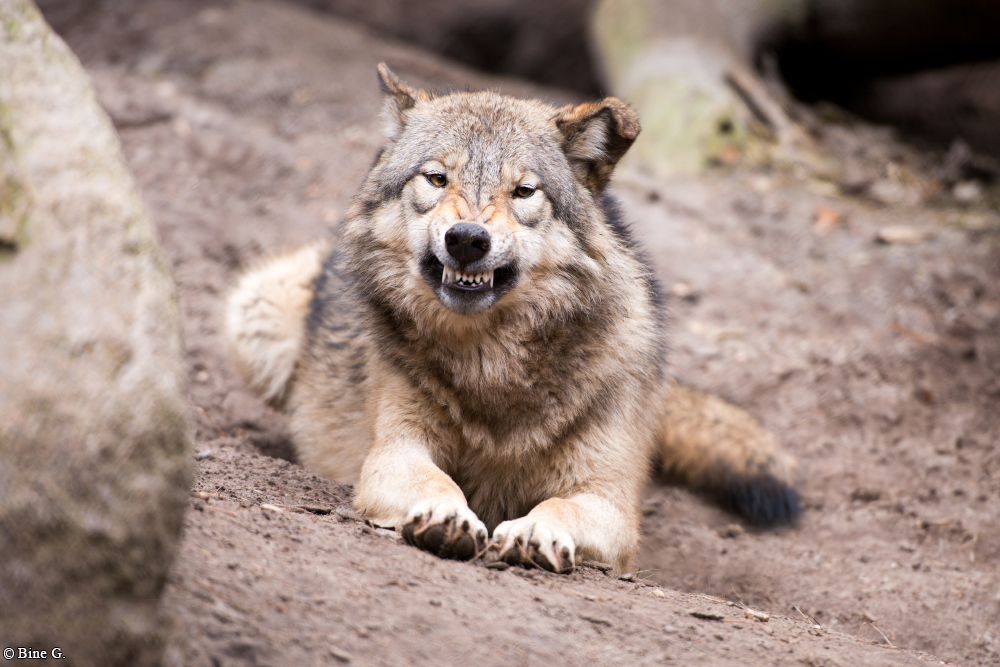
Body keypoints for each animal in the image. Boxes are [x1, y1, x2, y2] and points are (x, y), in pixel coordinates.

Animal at [225, 64, 799, 574]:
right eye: (437, 178)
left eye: (524, 190)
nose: (466, 238)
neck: (493, 362)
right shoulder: (394, 453)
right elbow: (435, 481)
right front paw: (447, 515)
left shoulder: (609, 501)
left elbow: (559, 506)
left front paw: (534, 530)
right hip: (255, 309)